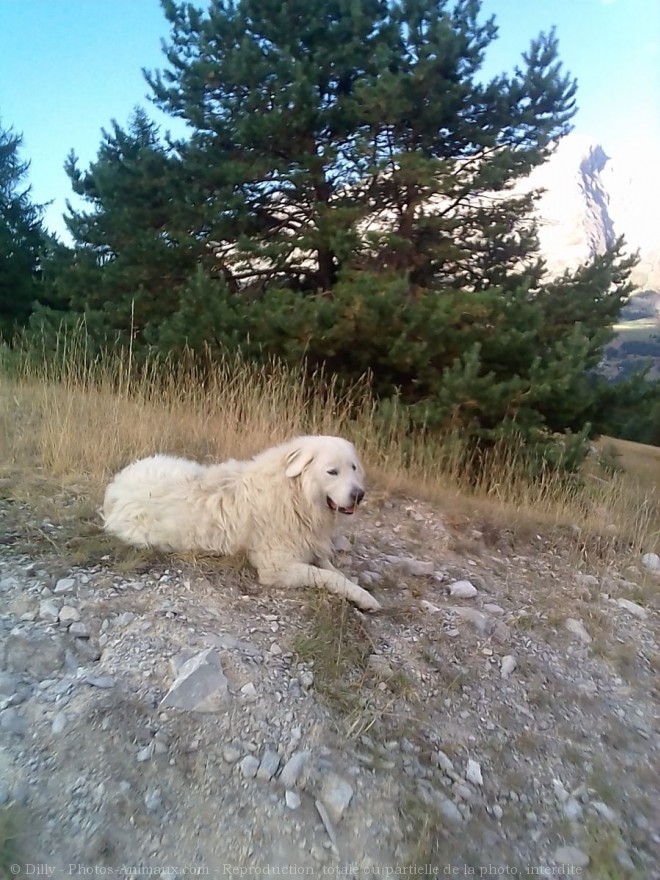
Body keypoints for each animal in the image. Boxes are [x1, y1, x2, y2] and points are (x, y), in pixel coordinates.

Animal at [103, 434, 382, 612]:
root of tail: (115, 488)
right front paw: (365, 598)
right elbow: (329, 576)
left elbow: (332, 568)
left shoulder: (310, 545)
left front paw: (359, 589)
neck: (295, 494)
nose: (359, 495)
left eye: (353, 468)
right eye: (332, 472)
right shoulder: (276, 568)